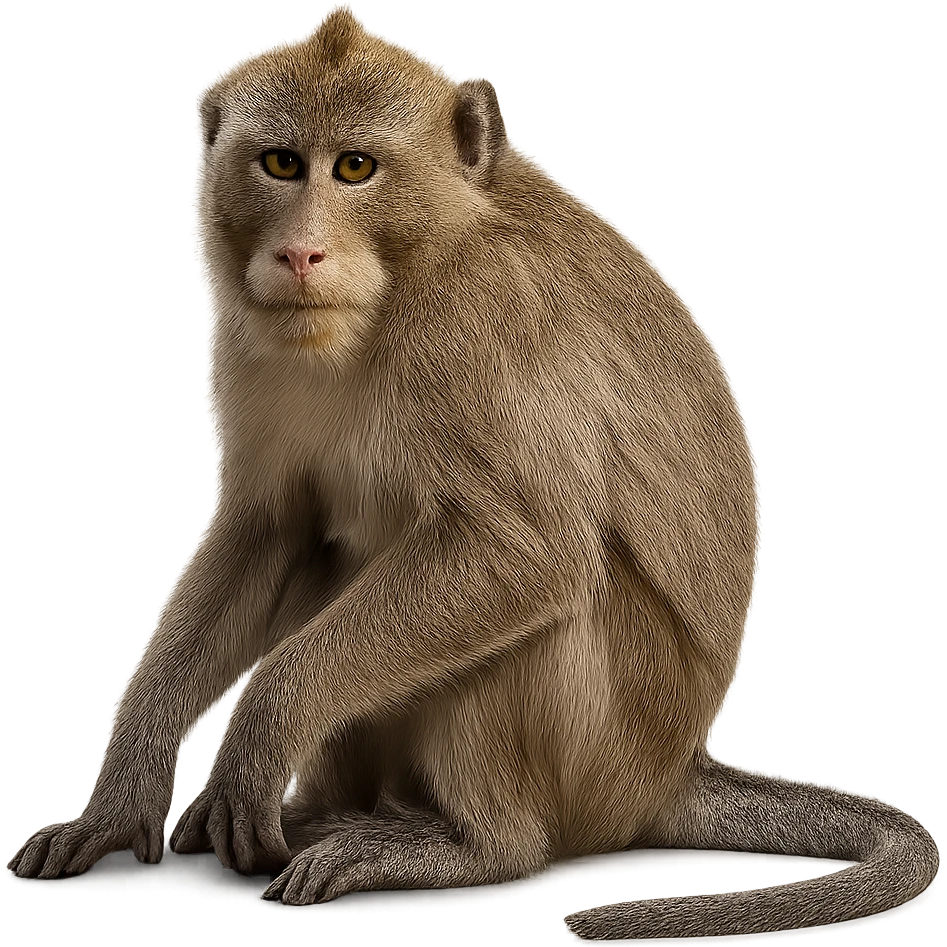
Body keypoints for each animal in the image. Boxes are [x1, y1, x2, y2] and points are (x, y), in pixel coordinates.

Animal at [7, 4, 939, 940]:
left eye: (355, 167)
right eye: (280, 163)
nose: (300, 254)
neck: (406, 273)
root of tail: (666, 770)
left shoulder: (474, 321)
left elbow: (526, 550)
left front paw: (262, 727)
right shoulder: (247, 328)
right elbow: (267, 531)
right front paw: (118, 800)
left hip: (603, 747)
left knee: (536, 609)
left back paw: (471, 846)